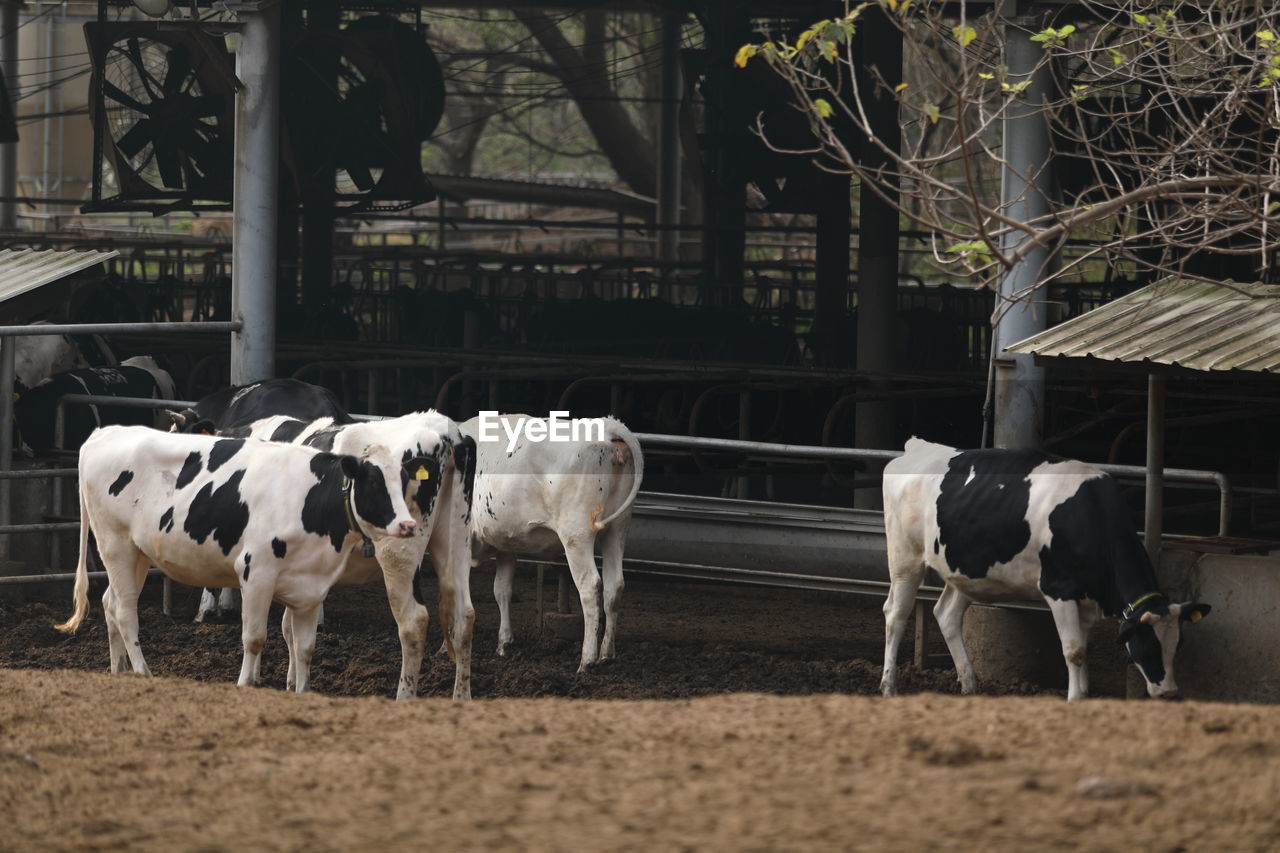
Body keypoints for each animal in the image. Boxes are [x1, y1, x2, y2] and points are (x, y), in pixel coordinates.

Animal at [53, 425, 419, 691]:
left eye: (405, 483)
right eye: (373, 483)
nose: (408, 525)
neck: (309, 499)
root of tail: (107, 432)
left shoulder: (312, 587)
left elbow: (305, 648)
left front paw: (302, 692)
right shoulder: (255, 572)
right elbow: (254, 638)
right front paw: (245, 684)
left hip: (138, 553)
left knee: (110, 601)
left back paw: (119, 671)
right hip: (115, 544)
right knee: (124, 611)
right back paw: (143, 672)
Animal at [460, 409, 645, 666]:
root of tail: (609, 427)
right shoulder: (506, 543)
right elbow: (502, 590)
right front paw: (504, 644)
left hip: (576, 534)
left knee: (590, 586)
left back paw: (587, 660)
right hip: (618, 528)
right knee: (614, 585)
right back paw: (607, 654)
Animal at [875, 438, 1213, 696]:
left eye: (1177, 645)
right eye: (1147, 643)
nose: (1169, 693)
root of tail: (917, 446)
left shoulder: (1085, 599)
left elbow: (1084, 647)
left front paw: (1084, 693)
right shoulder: (1059, 589)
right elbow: (1074, 651)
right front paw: (1074, 699)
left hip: (967, 570)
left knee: (946, 614)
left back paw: (970, 686)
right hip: (905, 556)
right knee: (896, 614)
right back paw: (889, 687)